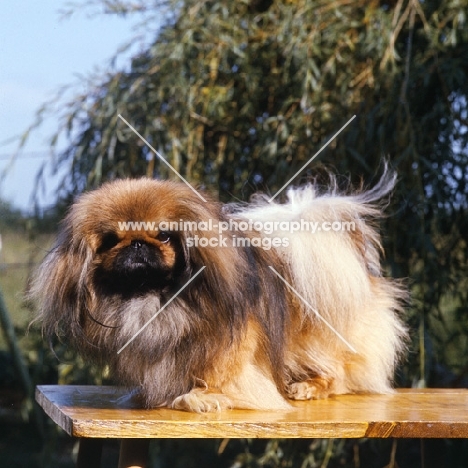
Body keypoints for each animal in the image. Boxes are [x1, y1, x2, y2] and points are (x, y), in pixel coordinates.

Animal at [31, 170, 408, 412]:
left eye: (164, 235)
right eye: (111, 240)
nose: (137, 245)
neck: (153, 296)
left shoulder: (234, 345)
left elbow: (223, 374)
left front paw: (201, 397)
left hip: (320, 337)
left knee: (341, 374)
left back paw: (308, 387)